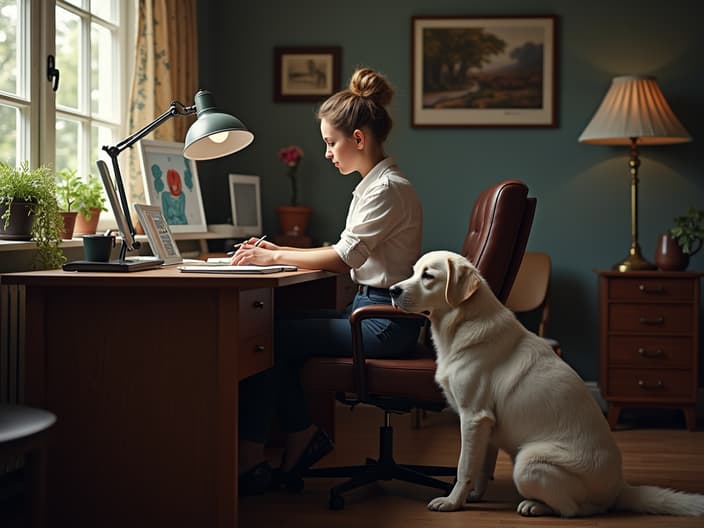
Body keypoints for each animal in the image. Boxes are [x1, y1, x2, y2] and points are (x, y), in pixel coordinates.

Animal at [390, 251, 704, 516]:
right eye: (414, 271)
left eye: (428, 276)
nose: (393, 290)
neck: (461, 322)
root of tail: (620, 488)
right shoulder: (486, 426)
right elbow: (480, 467)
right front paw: (475, 496)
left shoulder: (473, 417)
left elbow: (464, 467)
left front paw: (453, 502)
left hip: (527, 463)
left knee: (577, 510)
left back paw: (535, 506)